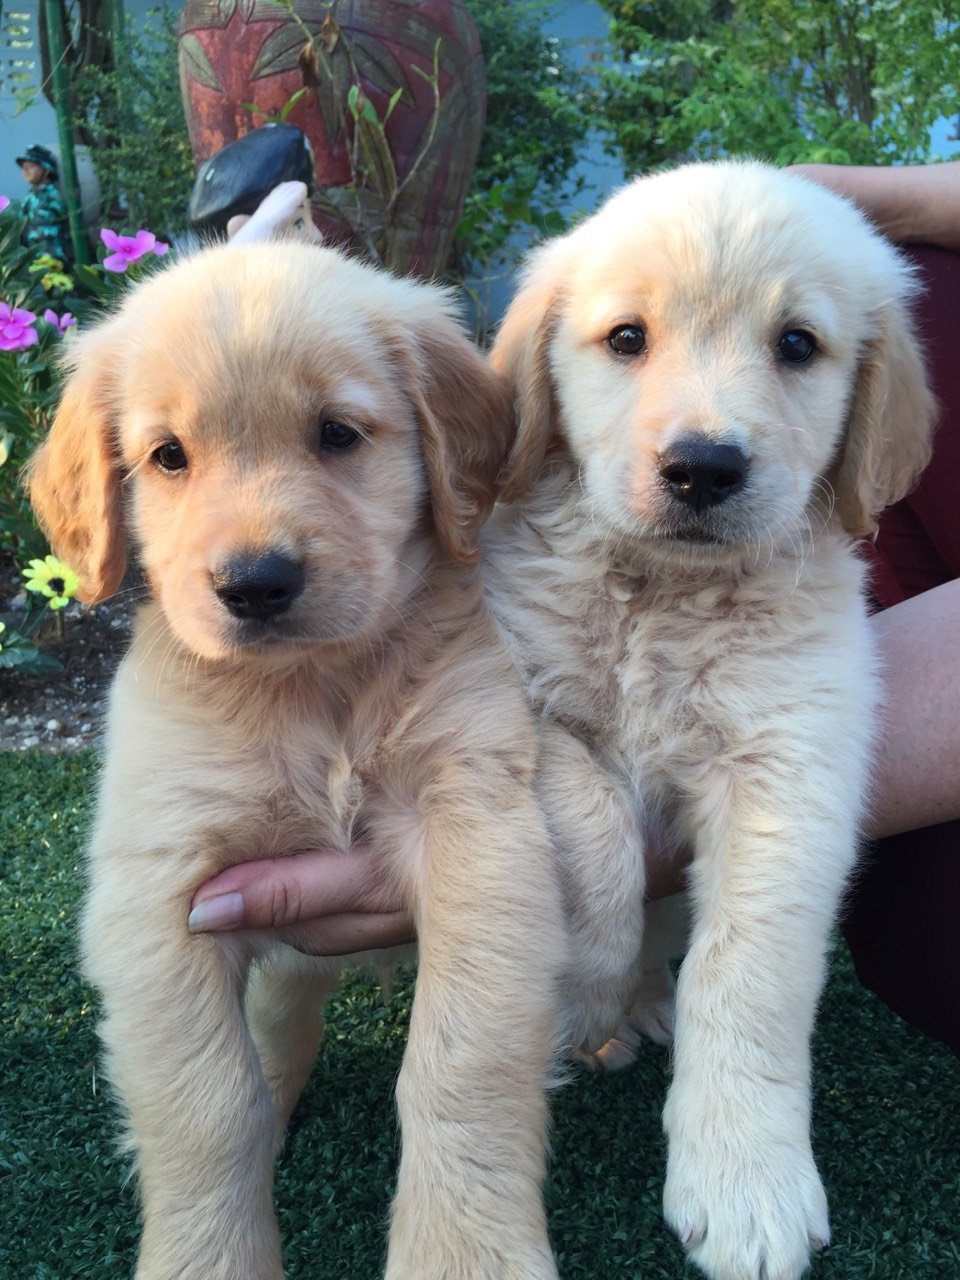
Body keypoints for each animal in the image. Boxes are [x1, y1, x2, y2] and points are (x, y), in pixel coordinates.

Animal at [27, 241, 566, 1280]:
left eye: (337, 434)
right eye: (168, 457)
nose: (256, 584)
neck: (317, 692)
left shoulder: (479, 830)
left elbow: (461, 1062)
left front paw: (462, 1252)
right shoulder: (163, 891)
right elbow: (207, 1106)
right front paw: (207, 1258)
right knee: (278, 1018)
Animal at [482, 160, 936, 1280]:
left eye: (797, 345)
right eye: (626, 338)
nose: (702, 467)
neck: (663, 593)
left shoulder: (791, 769)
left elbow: (746, 976)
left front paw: (745, 1186)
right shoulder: (499, 694)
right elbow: (597, 822)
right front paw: (588, 990)